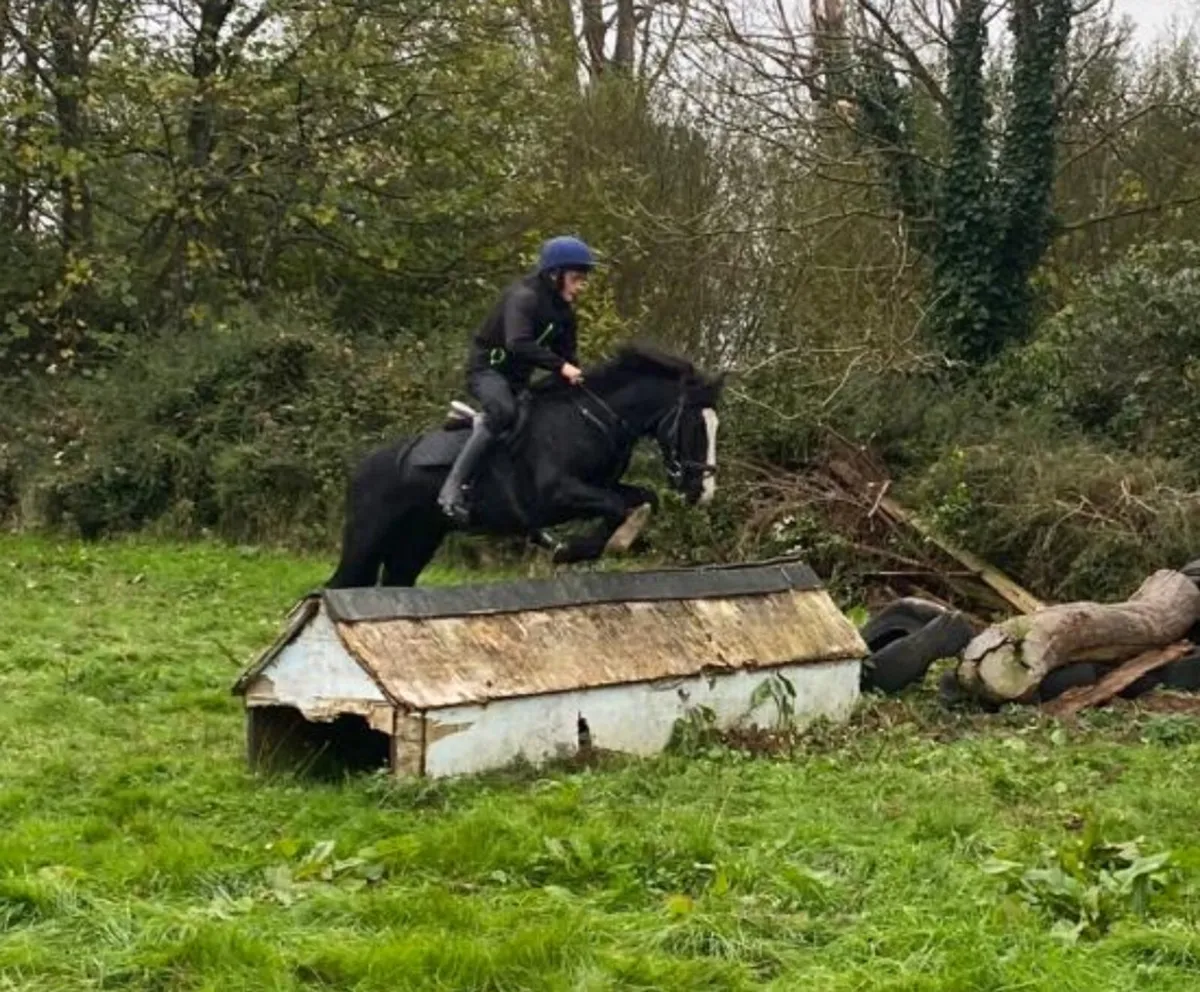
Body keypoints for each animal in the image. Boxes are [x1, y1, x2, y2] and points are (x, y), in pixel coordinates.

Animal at [325, 343, 725, 588]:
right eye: (694, 426)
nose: (703, 492)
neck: (591, 419)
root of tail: (361, 469)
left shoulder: (602, 486)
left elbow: (642, 498)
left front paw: (612, 540)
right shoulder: (557, 496)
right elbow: (614, 507)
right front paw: (574, 549)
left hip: (418, 539)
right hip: (368, 536)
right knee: (342, 582)